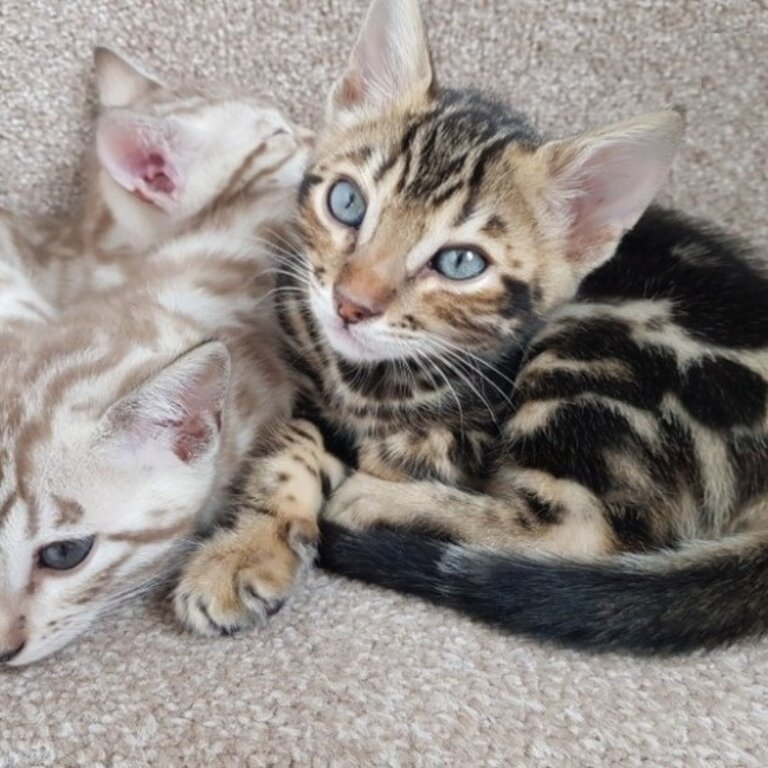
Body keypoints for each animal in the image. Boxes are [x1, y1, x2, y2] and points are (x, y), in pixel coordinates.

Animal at [183, 0, 768, 656]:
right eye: (347, 202)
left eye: (460, 263)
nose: (351, 304)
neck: (361, 380)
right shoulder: (308, 383)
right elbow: (292, 443)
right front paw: (244, 551)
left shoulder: (471, 429)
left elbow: (413, 445)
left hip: (593, 350)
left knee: (581, 533)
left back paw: (375, 502)